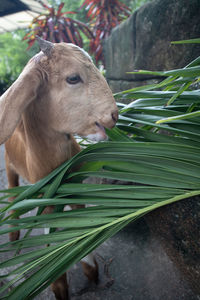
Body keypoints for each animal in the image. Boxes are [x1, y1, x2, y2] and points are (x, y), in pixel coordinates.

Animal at [0, 37, 119, 300]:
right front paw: (58, 286)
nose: (114, 115)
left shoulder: (76, 187)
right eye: (73, 78)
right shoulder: (43, 197)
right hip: (10, 165)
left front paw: (91, 270)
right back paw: (13, 234)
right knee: (12, 193)